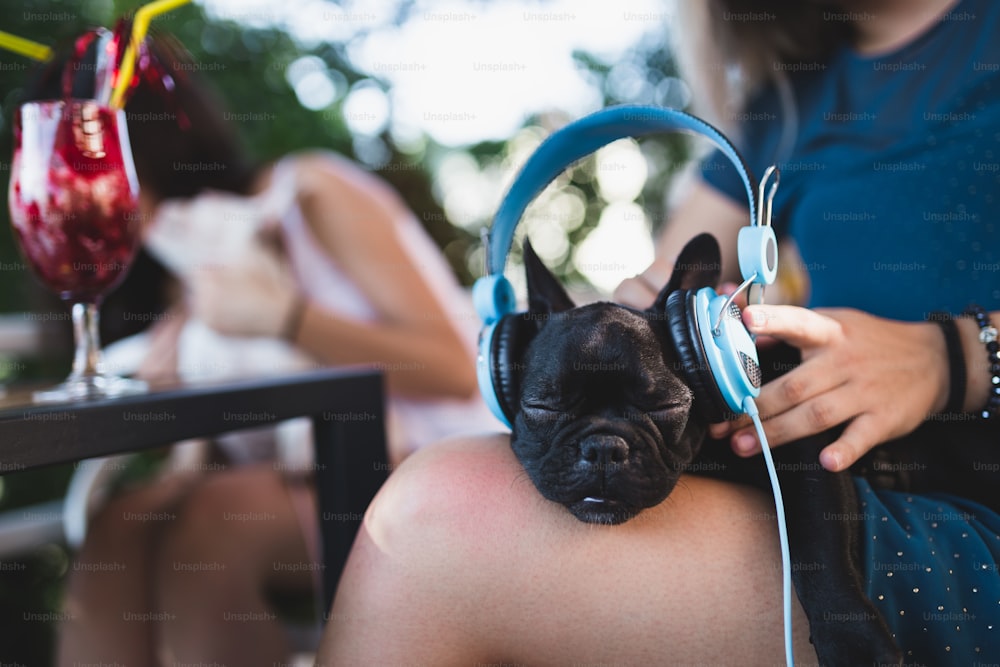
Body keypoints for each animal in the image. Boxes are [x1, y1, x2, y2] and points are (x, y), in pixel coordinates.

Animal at [508, 234, 992, 667]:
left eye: (666, 407)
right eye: (541, 406)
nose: (605, 447)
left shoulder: (807, 452)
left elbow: (819, 546)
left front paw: (854, 642)